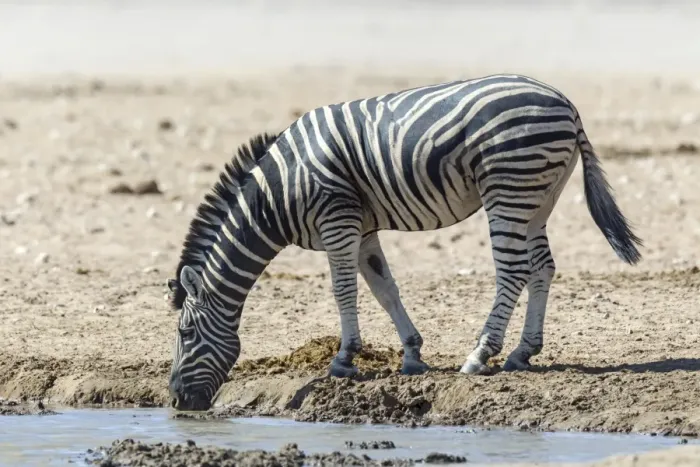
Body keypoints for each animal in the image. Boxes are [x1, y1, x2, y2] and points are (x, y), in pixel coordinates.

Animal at [166, 74, 642, 411]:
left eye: (185, 332)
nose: (175, 401)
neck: (276, 194)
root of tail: (565, 103)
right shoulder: (361, 229)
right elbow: (384, 288)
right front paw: (412, 355)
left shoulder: (337, 220)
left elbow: (344, 291)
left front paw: (343, 360)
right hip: (539, 197)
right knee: (542, 268)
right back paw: (523, 352)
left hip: (509, 186)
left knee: (513, 271)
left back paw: (479, 355)